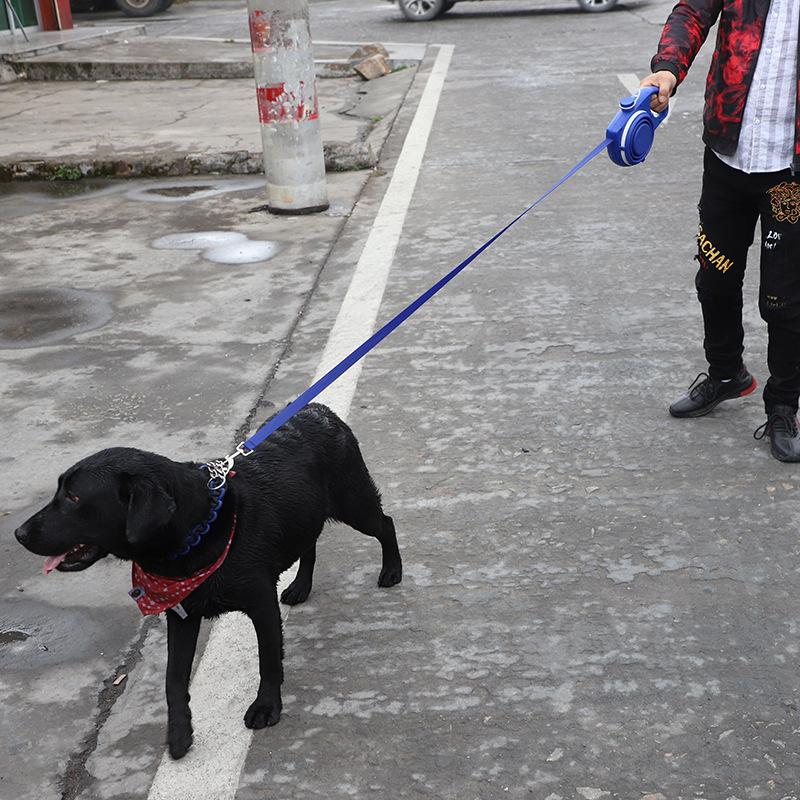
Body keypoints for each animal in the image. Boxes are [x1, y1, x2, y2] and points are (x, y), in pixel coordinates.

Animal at [12, 404, 400, 760]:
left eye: (74, 497)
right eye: (60, 491)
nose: (19, 533)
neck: (199, 530)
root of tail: (319, 409)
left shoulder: (262, 604)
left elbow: (269, 660)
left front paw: (266, 706)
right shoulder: (181, 615)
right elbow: (172, 680)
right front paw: (180, 733)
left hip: (355, 504)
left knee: (386, 523)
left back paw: (392, 570)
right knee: (312, 543)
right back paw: (300, 587)